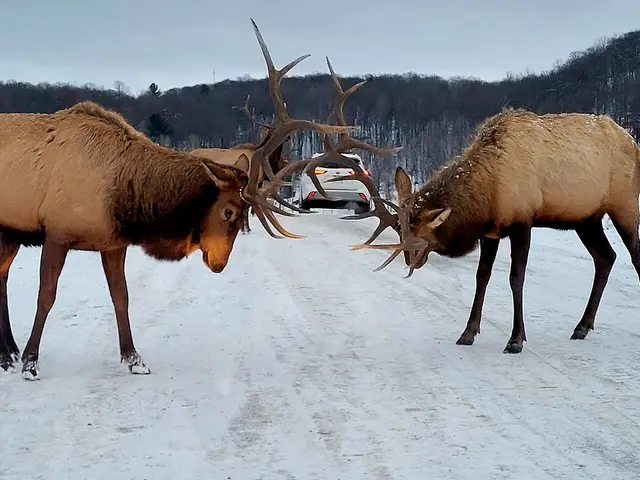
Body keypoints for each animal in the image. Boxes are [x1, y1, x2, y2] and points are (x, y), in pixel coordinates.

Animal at [0, 18, 354, 380]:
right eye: (229, 211)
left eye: (244, 214)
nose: (219, 263)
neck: (127, 197)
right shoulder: (57, 233)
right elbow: (47, 296)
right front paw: (31, 362)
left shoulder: (113, 242)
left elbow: (121, 297)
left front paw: (134, 358)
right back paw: (13, 354)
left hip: (9, 233)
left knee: (2, 278)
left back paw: (7, 353)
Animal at [340, 107, 640, 355]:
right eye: (401, 232)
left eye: (421, 238)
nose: (410, 260)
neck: (488, 195)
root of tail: (634, 143)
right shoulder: (490, 233)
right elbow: (481, 276)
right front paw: (468, 333)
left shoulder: (523, 222)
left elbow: (516, 277)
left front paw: (516, 339)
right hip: (586, 219)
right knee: (606, 257)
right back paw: (581, 326)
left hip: (624, 205)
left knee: (632, 255)